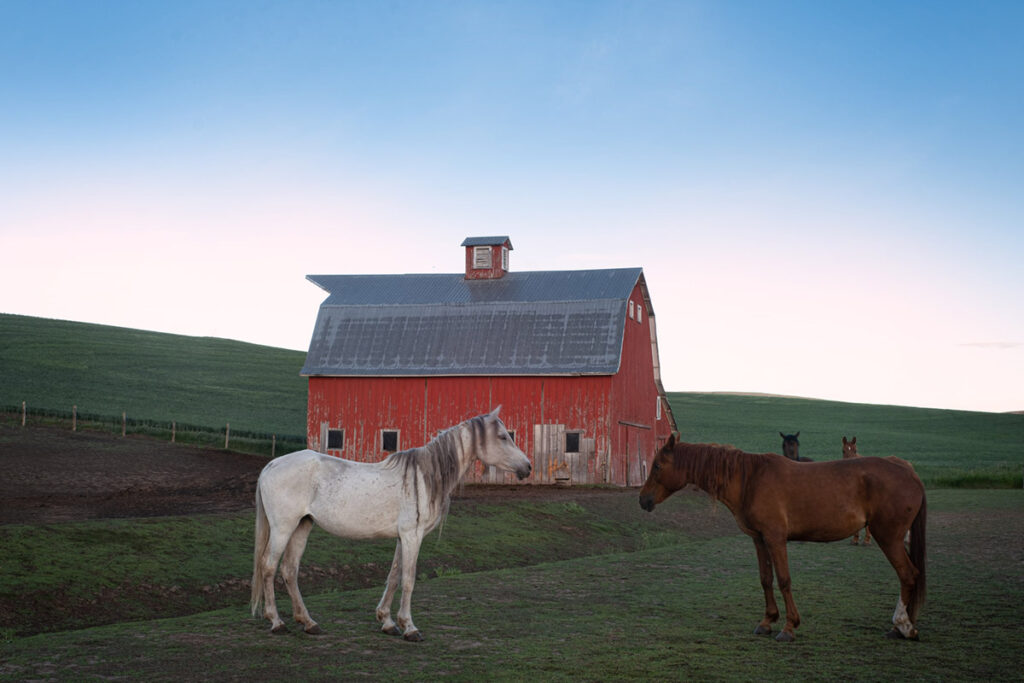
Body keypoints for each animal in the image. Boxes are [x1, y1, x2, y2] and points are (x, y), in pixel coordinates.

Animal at [251, 406, 531, 640]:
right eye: (503, 437)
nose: (527, 467)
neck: (425, 477)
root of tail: (271, 464)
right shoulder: (412, 536)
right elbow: (408, 579)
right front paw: (410, 627)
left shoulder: (402, 537)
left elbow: (394, 576)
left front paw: (387, 622)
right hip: (283, 528)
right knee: (268, 567)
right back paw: (277, 622)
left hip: (303, 526)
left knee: (289, 570)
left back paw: (308, 623)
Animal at [639, 434, 926, 641]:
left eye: (657, 466)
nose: (643, 500)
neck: (750, 479)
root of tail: (908, 470)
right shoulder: (759, 540)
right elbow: (766, 579)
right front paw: (767, 621)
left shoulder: (776, 539)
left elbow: (784, 580)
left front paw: (789, 627)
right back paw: (905, 625)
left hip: (888, 537)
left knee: (907, 575)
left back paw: (903, 625)